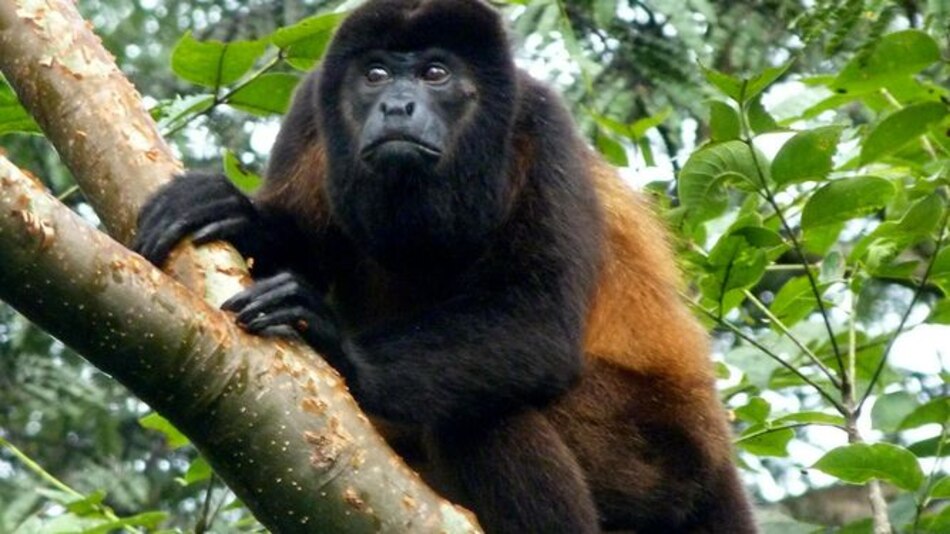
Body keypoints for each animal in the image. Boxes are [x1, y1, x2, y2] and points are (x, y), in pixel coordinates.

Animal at [133, 0, 757, 532]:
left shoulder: (542, 123)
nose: (396, 106)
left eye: (435, 73)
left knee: (484, 418)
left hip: (658, 451)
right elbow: (301, 242)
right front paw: (237, 214)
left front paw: (332, 341)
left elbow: (540, 319)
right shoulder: (311, 105)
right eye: (375, 75)